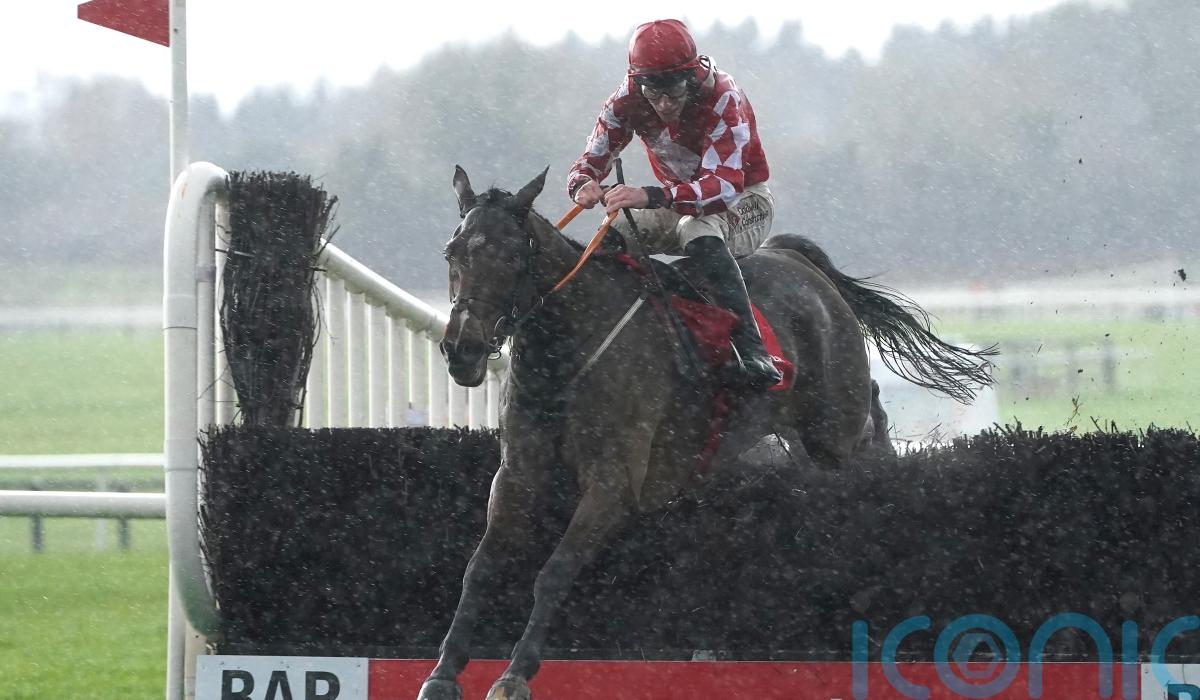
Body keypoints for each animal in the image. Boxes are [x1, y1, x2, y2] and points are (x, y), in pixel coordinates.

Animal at [420, 166, 995, 700]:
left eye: (511, 258)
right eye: (452, 253)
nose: (463, 351)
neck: (567, 347)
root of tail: (799, 263)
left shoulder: (614, 483)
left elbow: (554, 571)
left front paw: (515, 674)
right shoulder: (517, 475)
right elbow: (480, 569)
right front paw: (443, 674)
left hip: (834, 427)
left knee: (868, 431)